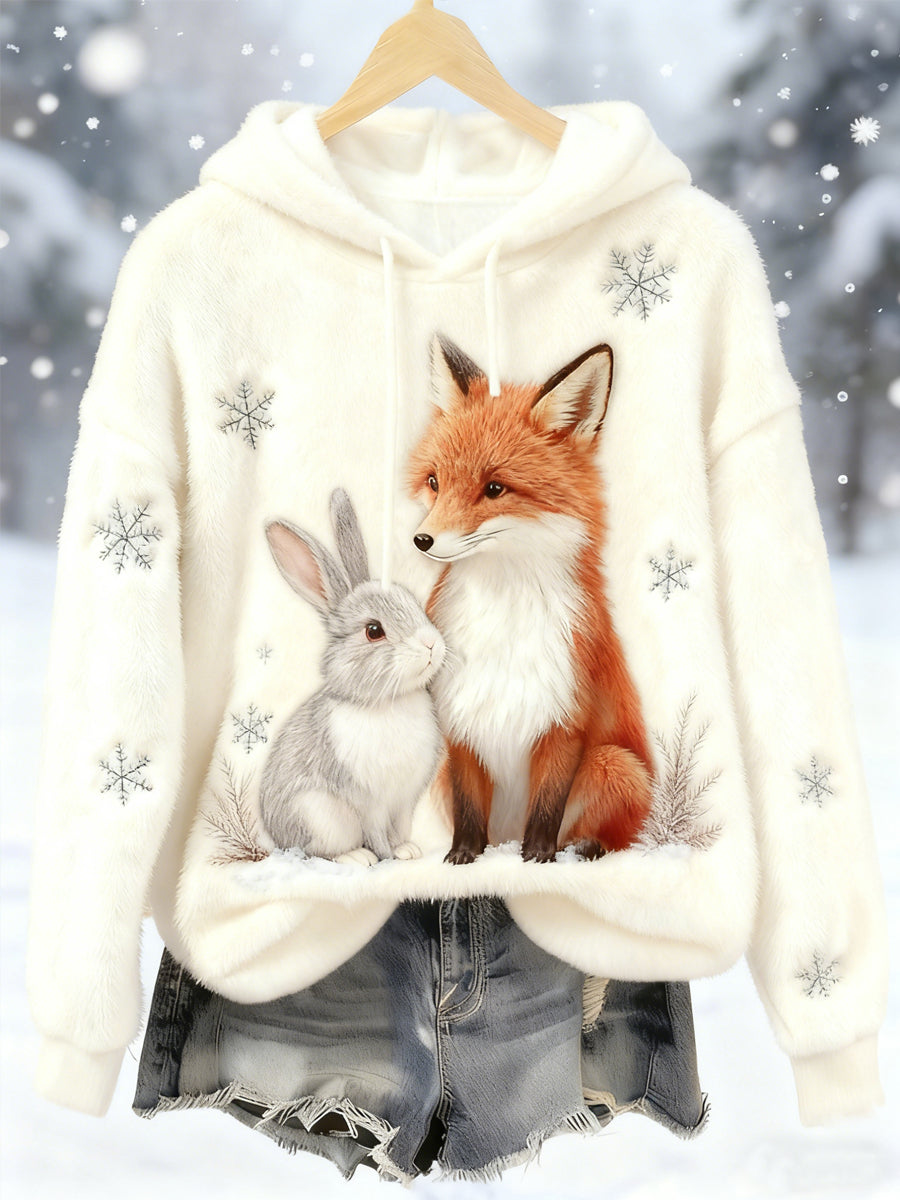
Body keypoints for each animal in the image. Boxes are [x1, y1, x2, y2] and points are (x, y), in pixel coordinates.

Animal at [259, 487, 446, 865]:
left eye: (413, 603)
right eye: (374, 631)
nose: (431, 644)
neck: (387, 703)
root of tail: (276, 838)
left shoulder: (404, 801)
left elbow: (399, 827)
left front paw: (407, 851)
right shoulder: (368, 800)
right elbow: (376, 832)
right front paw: (387, 857)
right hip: (319, 816)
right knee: (314, 851)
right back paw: (355, 857)